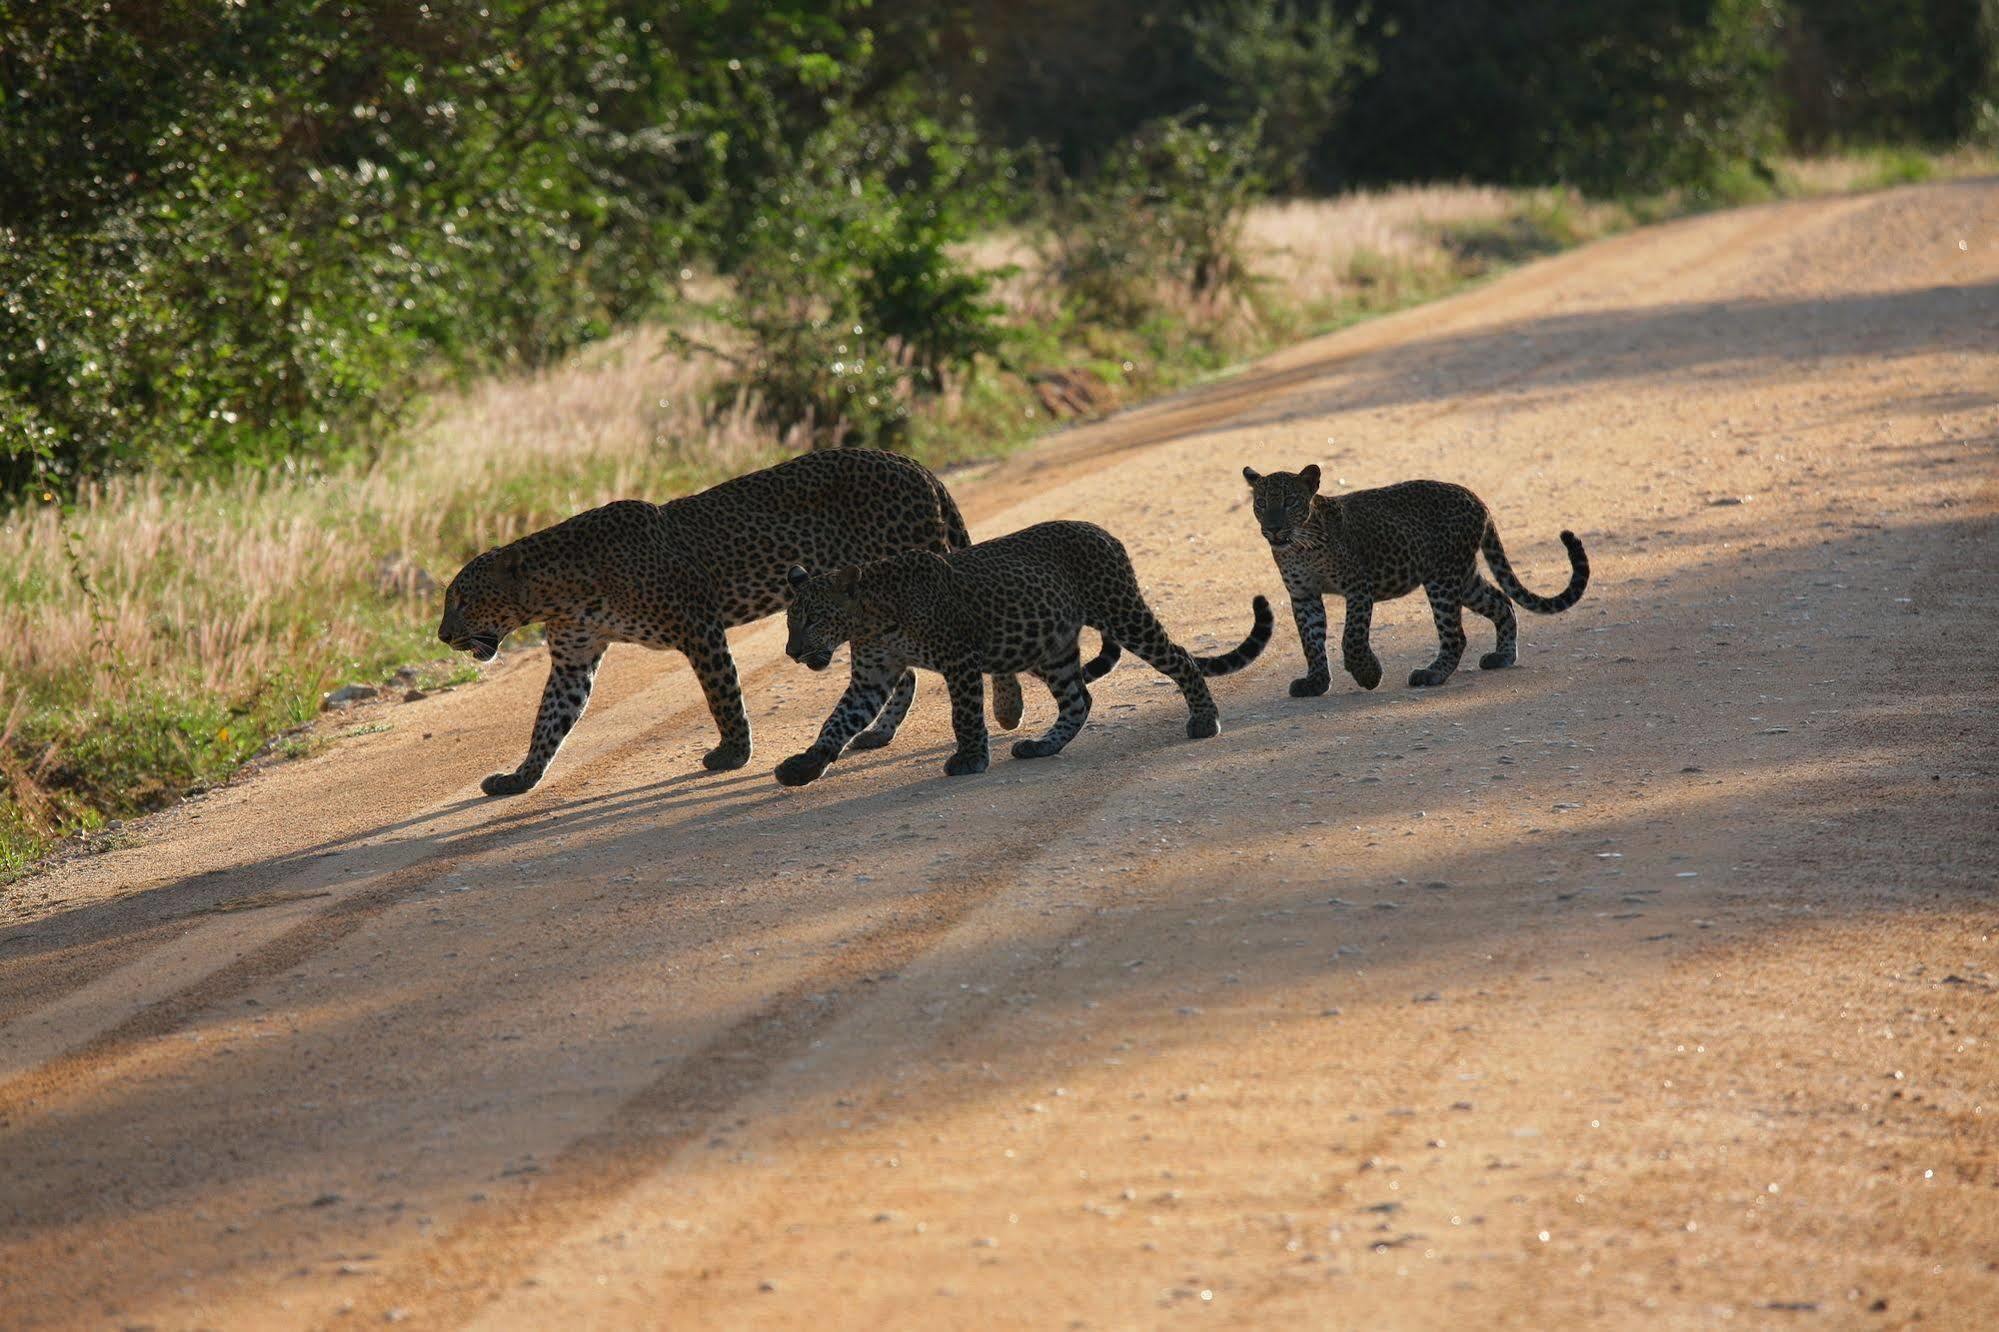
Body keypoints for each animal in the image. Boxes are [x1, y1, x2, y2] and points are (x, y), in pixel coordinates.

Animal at [439, 452, 1031, 792]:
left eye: (461, 599)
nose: (442, 635)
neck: (557, 592)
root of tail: (913, 463)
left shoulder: (697, 625)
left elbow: (720, 694)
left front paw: (732, 754)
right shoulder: (573, 659)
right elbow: (549, 722)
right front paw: (520, 778)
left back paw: (1005, 709)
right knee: (901, 671)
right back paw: (878, 733)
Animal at [771, 520, 1271, 784]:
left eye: (812, 620)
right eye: (792, 621)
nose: (793, 652)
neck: (872, 616)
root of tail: (1104, 532)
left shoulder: (959, 660)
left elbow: (964, 716)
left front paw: (970, 760)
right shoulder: (872, 676)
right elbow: (838, 720)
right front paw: (806, 764)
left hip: (1122, 613)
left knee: (1181, 659)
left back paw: (1204, 721)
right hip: (1051, 648)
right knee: (1078, 699)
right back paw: (1043, 746)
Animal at [1239, 464, 1583, 688]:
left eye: (1290, 502)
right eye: (1261, 504)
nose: (1273, 528)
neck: (1300, 545)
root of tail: (1475, 497)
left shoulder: (1358, 587)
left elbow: (1352, 636)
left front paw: (1368, 674)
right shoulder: (1303, 594)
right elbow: (1310, 640)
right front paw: (1316, 682)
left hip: (1442, 579)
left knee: (1456, 635)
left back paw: (1432, 675)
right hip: (1462, 576)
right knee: (1502, 602)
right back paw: (1502, 656)